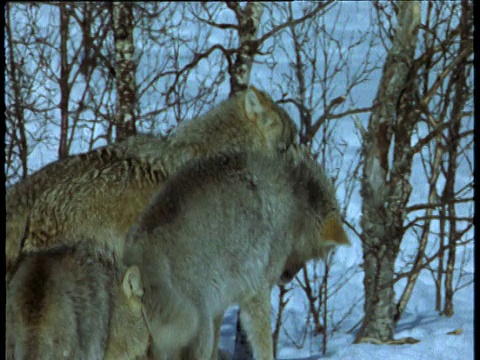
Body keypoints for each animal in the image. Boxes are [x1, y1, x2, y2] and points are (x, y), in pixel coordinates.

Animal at [124, 147, 348, 360]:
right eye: (314, 255)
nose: (287, 278)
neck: (293, 199)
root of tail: (141, 257)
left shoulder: (220, 303)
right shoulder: (256, 294)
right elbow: (264, 347)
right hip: (199, 335)